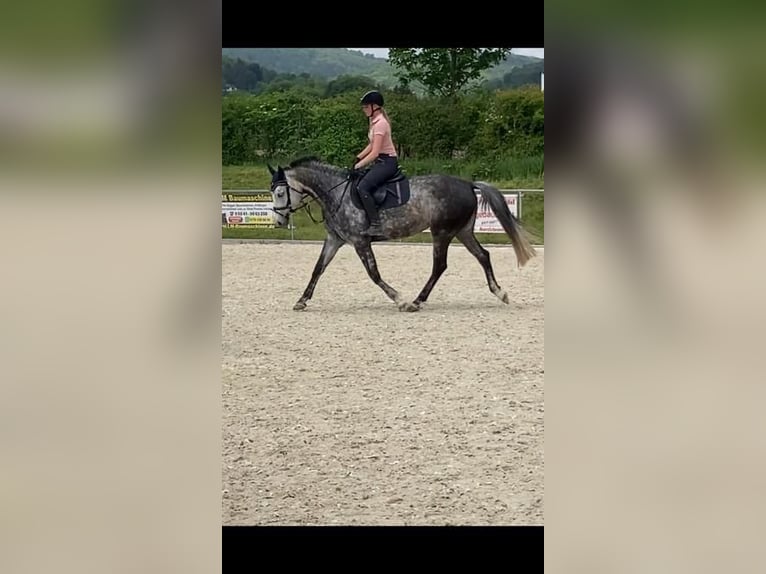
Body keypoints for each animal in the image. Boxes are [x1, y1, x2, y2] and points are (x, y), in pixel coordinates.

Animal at [270, 155, 540, 312]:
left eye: (280, 193)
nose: (279, 221)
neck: (336, 193)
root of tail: (467, 183)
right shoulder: (335, 240)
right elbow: (318, 269)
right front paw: (301, 300)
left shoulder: (360, 241)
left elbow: (374, 274)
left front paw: (399, 299)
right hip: (462, 231)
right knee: (483, 255)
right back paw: (499, 292)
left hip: (441, 232)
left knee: (440, 265)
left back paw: (417, 301)